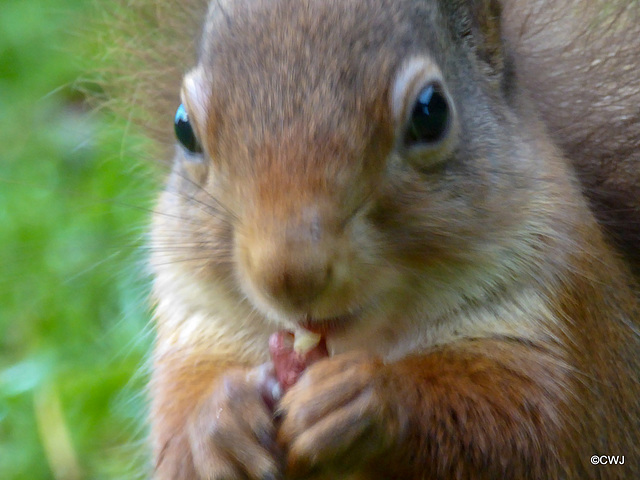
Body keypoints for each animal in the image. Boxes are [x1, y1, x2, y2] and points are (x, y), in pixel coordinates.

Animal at [99, 0, 640, 478]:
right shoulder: (197, 328)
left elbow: (532, 429)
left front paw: (365, 400)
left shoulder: (567, 327)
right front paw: (219, 422)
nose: (289, 276)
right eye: (183, 127)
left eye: (431, 112)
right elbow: (175, 431)